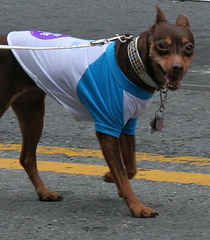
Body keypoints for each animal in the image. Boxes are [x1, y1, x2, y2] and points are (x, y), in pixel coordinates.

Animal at [0, 5, 194, 218]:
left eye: (188, 48)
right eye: (162, 45)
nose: (177, 67)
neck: (132, 65)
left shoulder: (126, 124)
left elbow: (130, 168)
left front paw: (111, 177)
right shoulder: (107, 128)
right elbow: (123, 174)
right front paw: (137, 207)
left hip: (32, 113)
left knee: (27, 158)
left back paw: (44, 192)